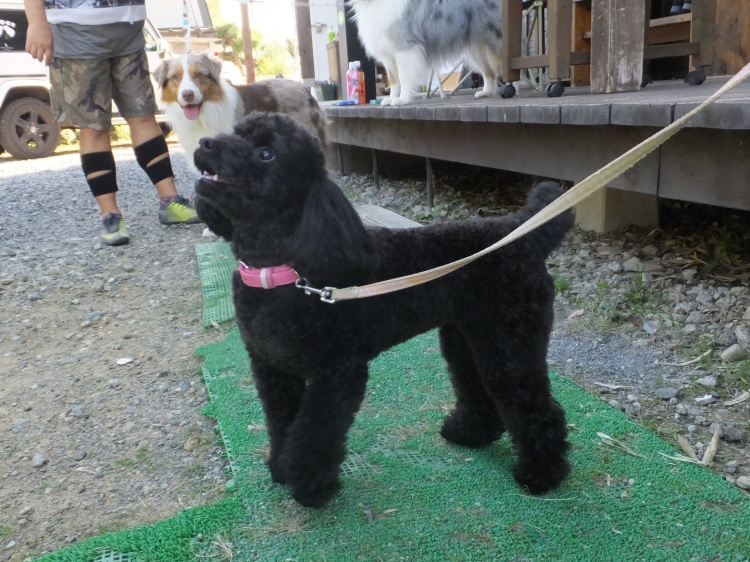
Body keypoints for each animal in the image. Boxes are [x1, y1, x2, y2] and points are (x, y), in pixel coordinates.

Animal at [193, 112, 572, 508]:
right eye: (235, 133)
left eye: (266, 153)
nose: (204, 143)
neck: (280, 273)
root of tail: (523, 235)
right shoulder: (272, 370)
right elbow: (282, 422)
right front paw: (281, 469)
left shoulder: (338, 373)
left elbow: (314, 432)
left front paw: (311, 487)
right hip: (467, 338)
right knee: (477, 386)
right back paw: (468, 432)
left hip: (510, 342)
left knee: (536, 406)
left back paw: (541, 474)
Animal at [350, 0, 505, 105]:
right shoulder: (389, 54)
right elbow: (394, 80)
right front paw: (392, 98)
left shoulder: (405, 48)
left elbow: (404, 77)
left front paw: (402, 99)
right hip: (476, 47)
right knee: (489, 72)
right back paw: (486, 92)